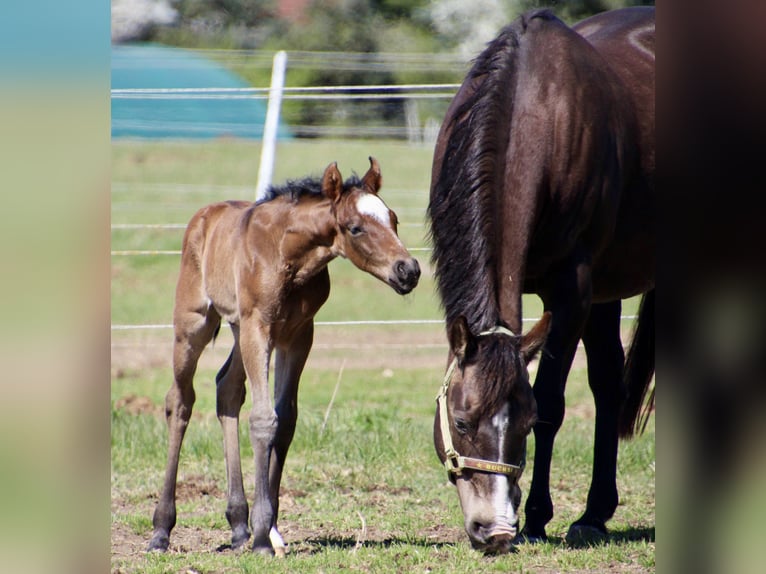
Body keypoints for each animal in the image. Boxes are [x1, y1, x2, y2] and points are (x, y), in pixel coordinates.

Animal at [147, 158, 421, 554]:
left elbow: (286, 419)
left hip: (238, 328)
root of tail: (204, 216)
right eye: (355, 228)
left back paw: (238, 525)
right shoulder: (259, 326)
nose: (409, 270)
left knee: (227, 389)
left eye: (394, 219)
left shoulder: (298, 333)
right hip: (194, 323)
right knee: (179, 401)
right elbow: (264, 419)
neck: (287, 254)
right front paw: (264, 535)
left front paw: (270, 528)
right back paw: (162, 530)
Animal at [427, 7, 654, 554]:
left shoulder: (572, 291)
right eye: (461, 421)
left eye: (525, 424)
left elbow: (553, 401)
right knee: (608, 381)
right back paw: (594, 514)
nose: (494, 531)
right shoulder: (590, 293)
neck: (533, 111)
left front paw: (536, 517)